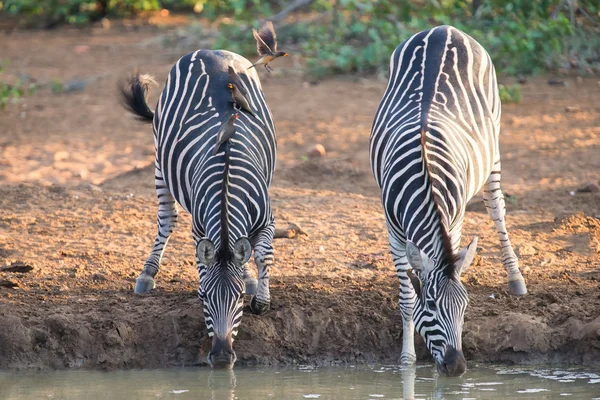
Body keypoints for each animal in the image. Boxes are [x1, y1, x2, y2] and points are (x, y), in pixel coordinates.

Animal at [119, 49, 276, 368]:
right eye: (203, 298)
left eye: (238, 298)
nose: (222, 358)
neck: (227, 182)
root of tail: (209, 51)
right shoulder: (200, 228)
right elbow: (204, 265)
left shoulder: (267, 219)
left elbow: (262, 254)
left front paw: (262, 300)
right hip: (159, 161)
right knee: (167, 218)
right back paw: (147, 273)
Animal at [368, 25, 528, 378]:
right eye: (430, 306)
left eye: (465, 305)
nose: (456, 367)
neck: (424, 174)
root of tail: (444, 29)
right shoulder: (393, 229)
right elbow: (406, 298)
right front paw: (408, 361)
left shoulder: (454, 222)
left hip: (493, 143)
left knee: (496, 207)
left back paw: (515, 278)